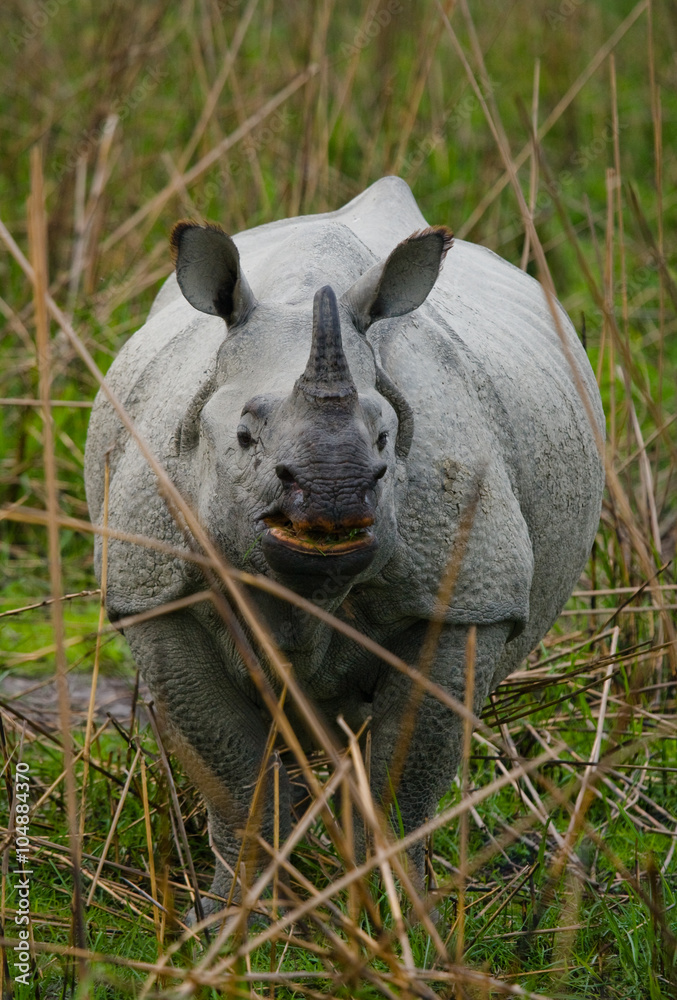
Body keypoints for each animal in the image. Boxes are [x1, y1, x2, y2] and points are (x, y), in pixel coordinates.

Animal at [85, 176, 604, 916]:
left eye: (386, 441)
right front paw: (231, 920)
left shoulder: (463, 596)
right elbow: (235, 775)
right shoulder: (155, 587)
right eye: (243, 438)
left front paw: (400, 917)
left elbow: (400, 780)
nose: (335, 493)